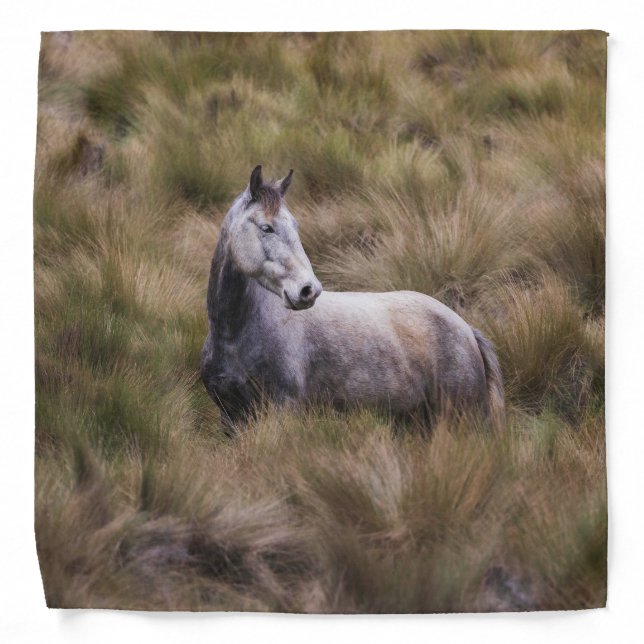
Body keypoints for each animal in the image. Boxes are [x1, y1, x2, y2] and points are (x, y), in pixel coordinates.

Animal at [200, 166, 505, 434]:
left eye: (295, 226)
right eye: (266, 228)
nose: (309, 290)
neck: (234, 335)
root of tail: (466, 329)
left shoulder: (282, 411)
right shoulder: (230, 417)